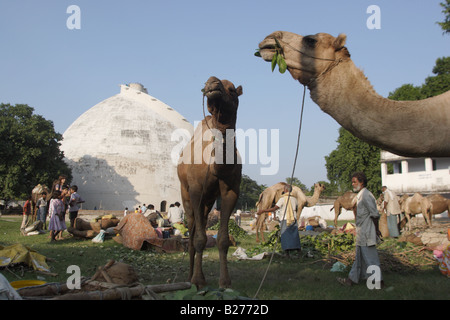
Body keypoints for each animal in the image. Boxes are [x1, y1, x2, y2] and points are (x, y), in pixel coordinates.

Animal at [177, 76, 243, 288]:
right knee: (192, 233)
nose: (212, 83)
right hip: (185, 194)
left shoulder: (231, 190)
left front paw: (225, 282)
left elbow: (222, 239)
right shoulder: (196, 190)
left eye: (232, 90)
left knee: (202, 223)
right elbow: (199, 239)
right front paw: (197, 281)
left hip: (208, 201)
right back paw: (190, 277)